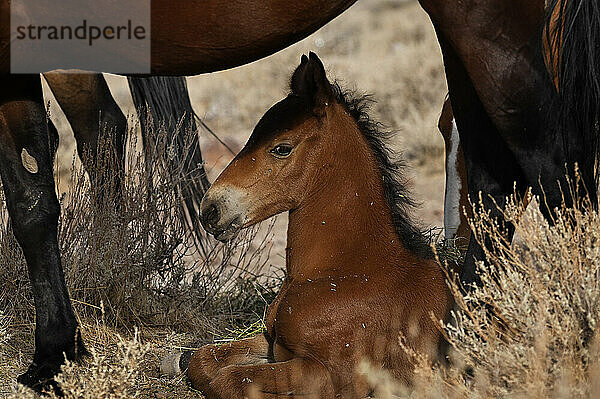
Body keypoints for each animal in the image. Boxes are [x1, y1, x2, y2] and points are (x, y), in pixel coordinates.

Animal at [162, 53, 452, 399]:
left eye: (281, 147)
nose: (210, 209)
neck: (345, 272)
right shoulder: (271, 342)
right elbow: (203, 359)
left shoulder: (332, 374)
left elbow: (230, 379)